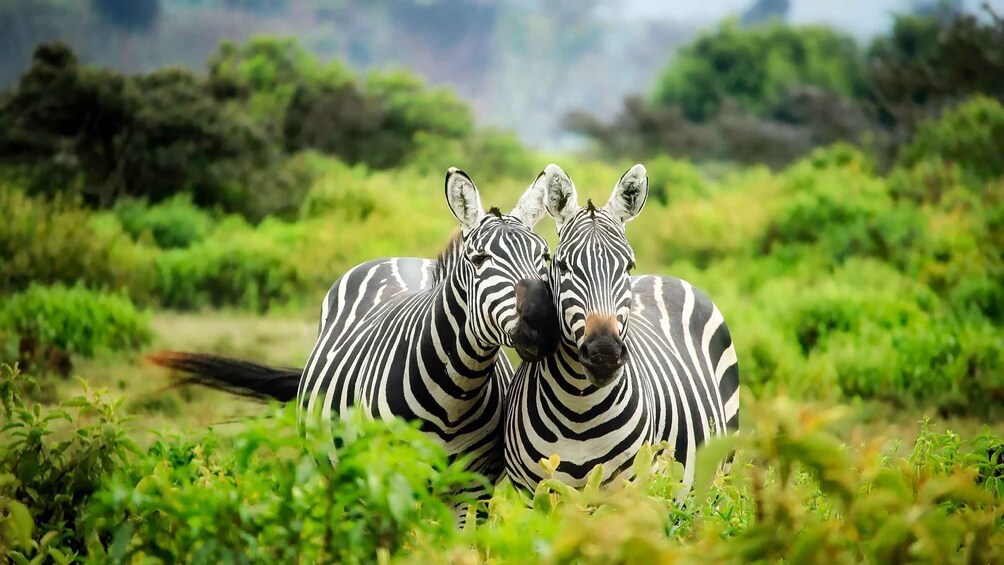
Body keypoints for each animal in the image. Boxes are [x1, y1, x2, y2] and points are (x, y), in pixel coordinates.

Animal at [152, 167, 560, 509]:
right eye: (478, 260)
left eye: (544, 257)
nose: (543, 324)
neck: (455, 393)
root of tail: (400, 259)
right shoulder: (388, 479)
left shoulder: (473, 489)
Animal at [503, 164, 740, 492]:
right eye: (562, 266)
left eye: (628, 266)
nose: (604, 354)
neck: (579, 409)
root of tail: (665, 277)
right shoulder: (531, 492)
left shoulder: (628, 490)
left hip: (718, 474)